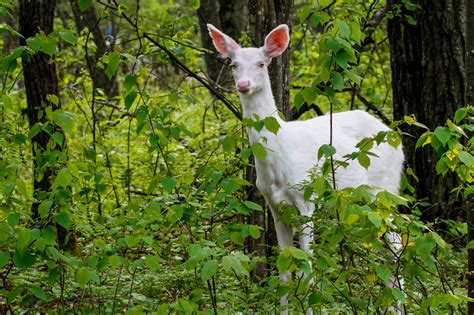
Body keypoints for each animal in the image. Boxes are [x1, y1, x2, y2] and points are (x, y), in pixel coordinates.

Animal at [207, 24, 404, 314]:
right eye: (233, 65)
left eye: (262, 63)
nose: (243, 85)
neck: (279, 159)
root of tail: (395, 137)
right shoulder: (275, 207)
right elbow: (284, 274)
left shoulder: (307, 199)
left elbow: (307, 272)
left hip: (384, 190)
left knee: (398, 245)